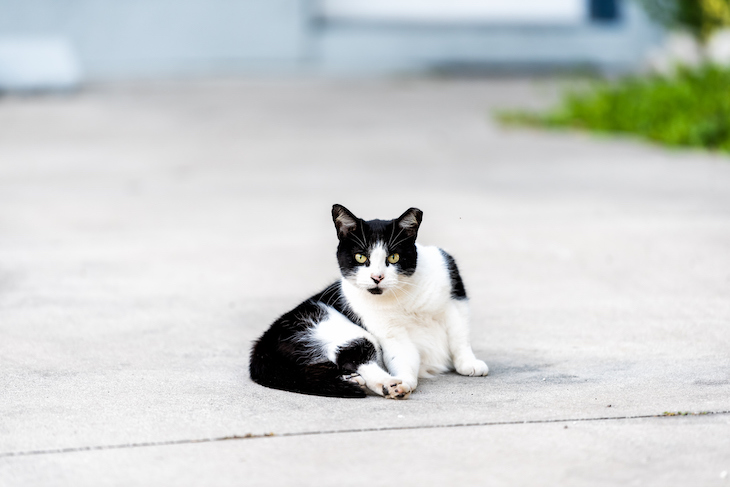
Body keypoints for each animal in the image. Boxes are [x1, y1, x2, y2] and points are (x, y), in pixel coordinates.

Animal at [247, 204, 486, 398]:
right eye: (361, 257)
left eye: (393, 257)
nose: (377, 277)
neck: (404, 296)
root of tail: (262, 342)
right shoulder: (390, 332)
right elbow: (403, 356)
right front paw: (405, 381)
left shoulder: (455, 299)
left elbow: (459, 337)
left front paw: (468, 363)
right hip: (329, 323)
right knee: (353, 355)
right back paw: (389, 384)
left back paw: (355, 380)